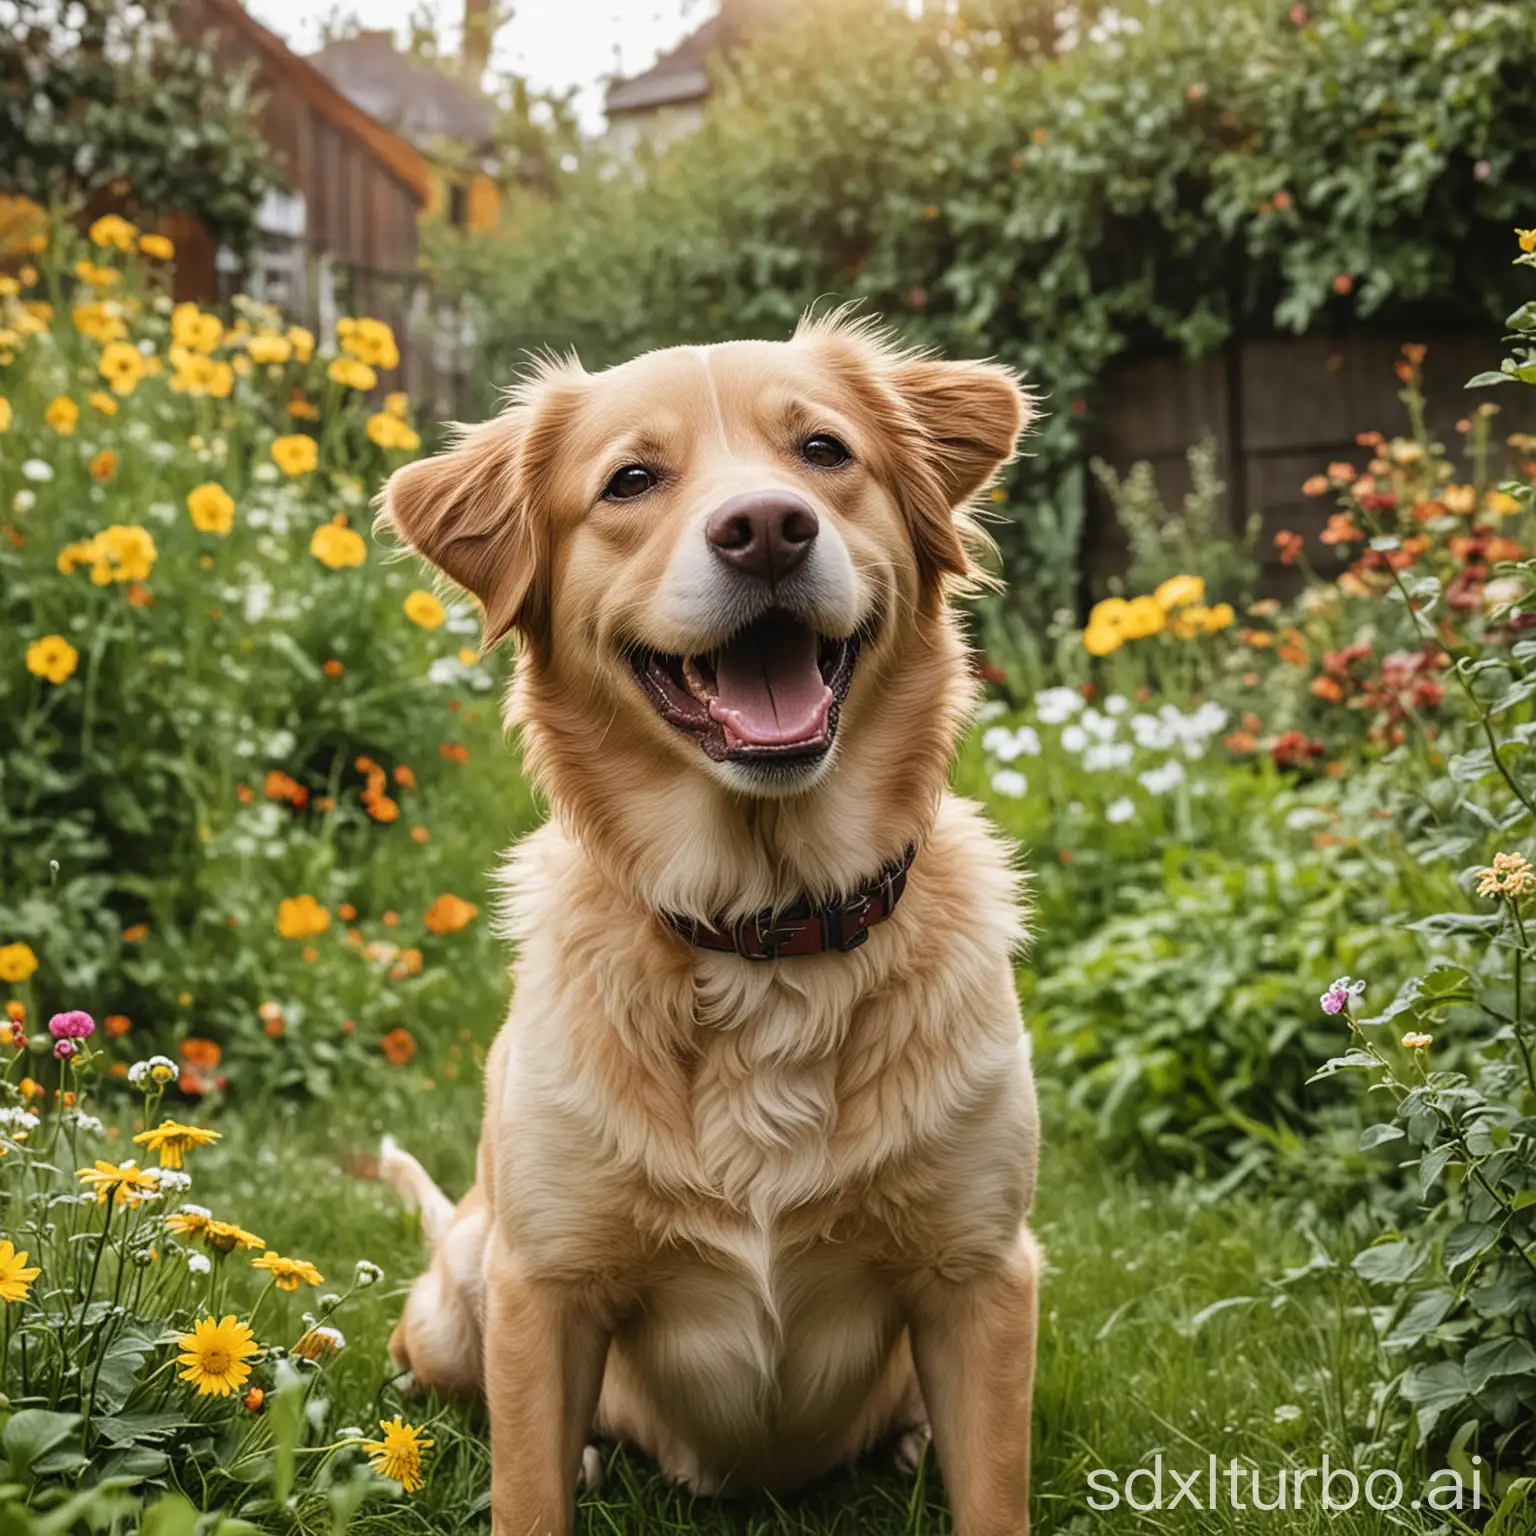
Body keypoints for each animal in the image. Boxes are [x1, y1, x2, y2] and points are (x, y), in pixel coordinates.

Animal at [376, 314, 1038, 1536]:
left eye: (823, 452)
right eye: (632, 480)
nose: (768, 529)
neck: (763, 927)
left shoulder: (984, 1277)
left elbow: (993, 1495)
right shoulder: (544, 1290)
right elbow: (527, 1489)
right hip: (461, 1298)